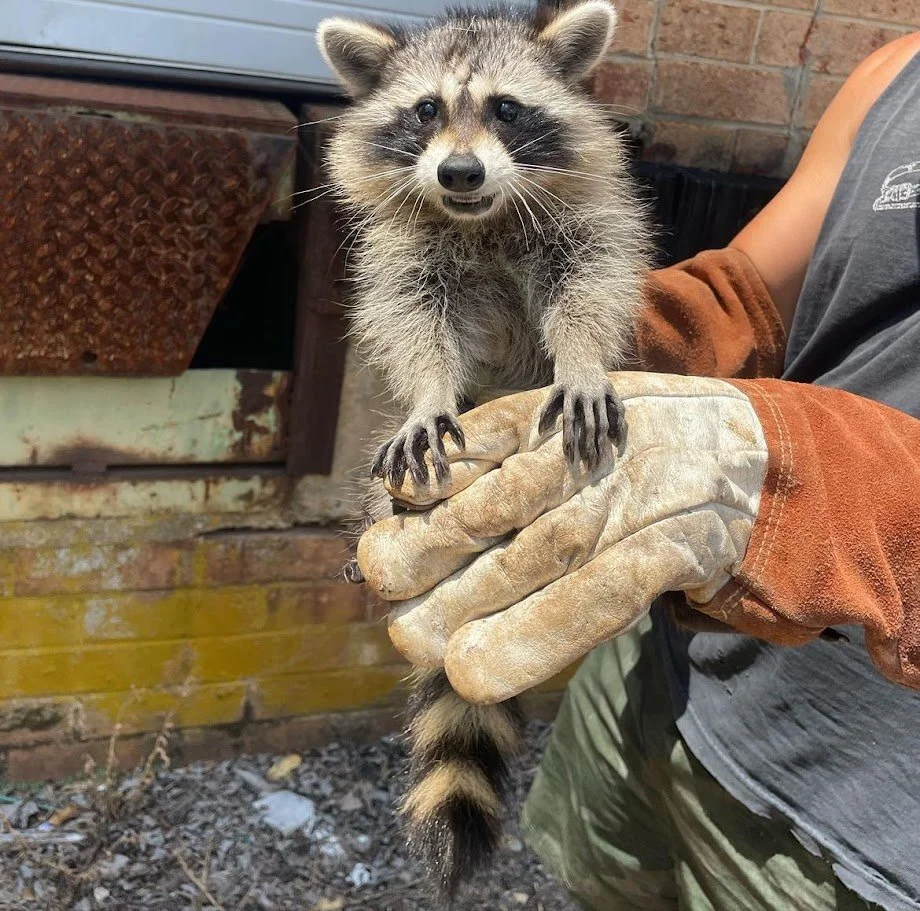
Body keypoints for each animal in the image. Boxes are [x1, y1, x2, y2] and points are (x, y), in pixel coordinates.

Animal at [316, 0, 648, 897]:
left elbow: (590, 291)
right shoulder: (408, 256)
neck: (484, 216)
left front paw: (582, 358)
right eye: (426, 109)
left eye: (506, 108)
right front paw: (432, 392)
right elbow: (414, 325)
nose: (459, 173)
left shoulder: (584, 226)